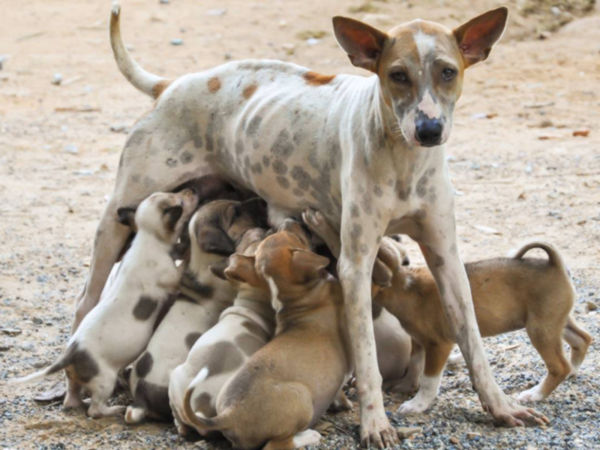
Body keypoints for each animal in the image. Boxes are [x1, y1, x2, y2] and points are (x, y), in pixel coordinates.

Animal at [12, 190, 197, 418]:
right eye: (180, 200)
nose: (191, 191)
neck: (147, 238)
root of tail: (70, 355)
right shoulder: (172, 276)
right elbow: (183, 264)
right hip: (104, 382)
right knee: (95, 410)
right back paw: (114, 409)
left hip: (82, 379)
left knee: (76, 395)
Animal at [183, 221, 352, 450]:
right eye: (297, 239)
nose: (289, 222)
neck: (295, 296)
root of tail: (229, 415)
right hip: (300, 398)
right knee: (277, 444)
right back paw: (309, 436)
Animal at [376, 237, 592, 414]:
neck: (404, 286)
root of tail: (554, 263)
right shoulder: (418, 341)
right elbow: (414, 366)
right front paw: (405, 387)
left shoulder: (439, 346)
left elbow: (429, 380)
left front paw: (417, 405)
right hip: (555, 322)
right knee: (582, 339)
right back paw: (573, 370)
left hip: (540, 329)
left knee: (559, 366)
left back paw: (535, 394)